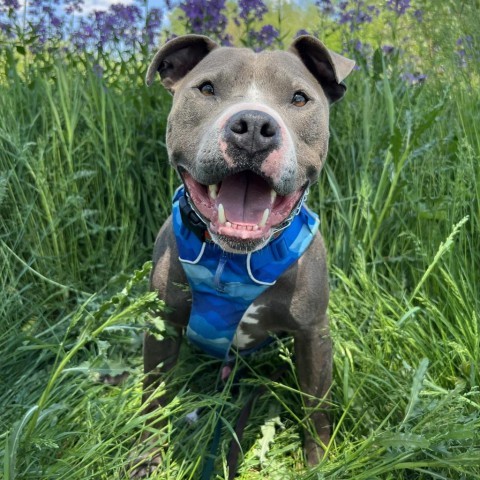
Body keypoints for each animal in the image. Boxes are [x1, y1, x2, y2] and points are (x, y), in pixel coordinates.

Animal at [135, 33, 352, 476]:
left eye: (300, 98)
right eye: (206, 89)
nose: (253, 126)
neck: (232, 260)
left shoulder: (313, 335)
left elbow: (316, 409)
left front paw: (318, 462)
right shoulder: (162, 325)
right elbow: (154, 395)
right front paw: (146, 458)